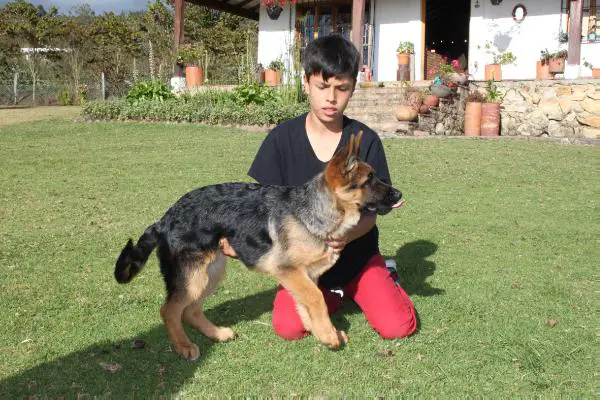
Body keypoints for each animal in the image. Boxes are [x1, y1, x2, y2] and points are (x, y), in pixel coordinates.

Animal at [112, 133, 404, 360]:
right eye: (369, 180)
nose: (400, 194)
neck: (311, 211)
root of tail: (164, 219)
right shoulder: (289, 272)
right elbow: (317, 299)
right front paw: (327, 333)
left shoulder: (305, 276)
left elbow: (306, 304)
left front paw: (319, 331)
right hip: (193, 277)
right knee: (170, 310)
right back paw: (183, 346)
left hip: (211, 273)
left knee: (191, 310)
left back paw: (217, 333)